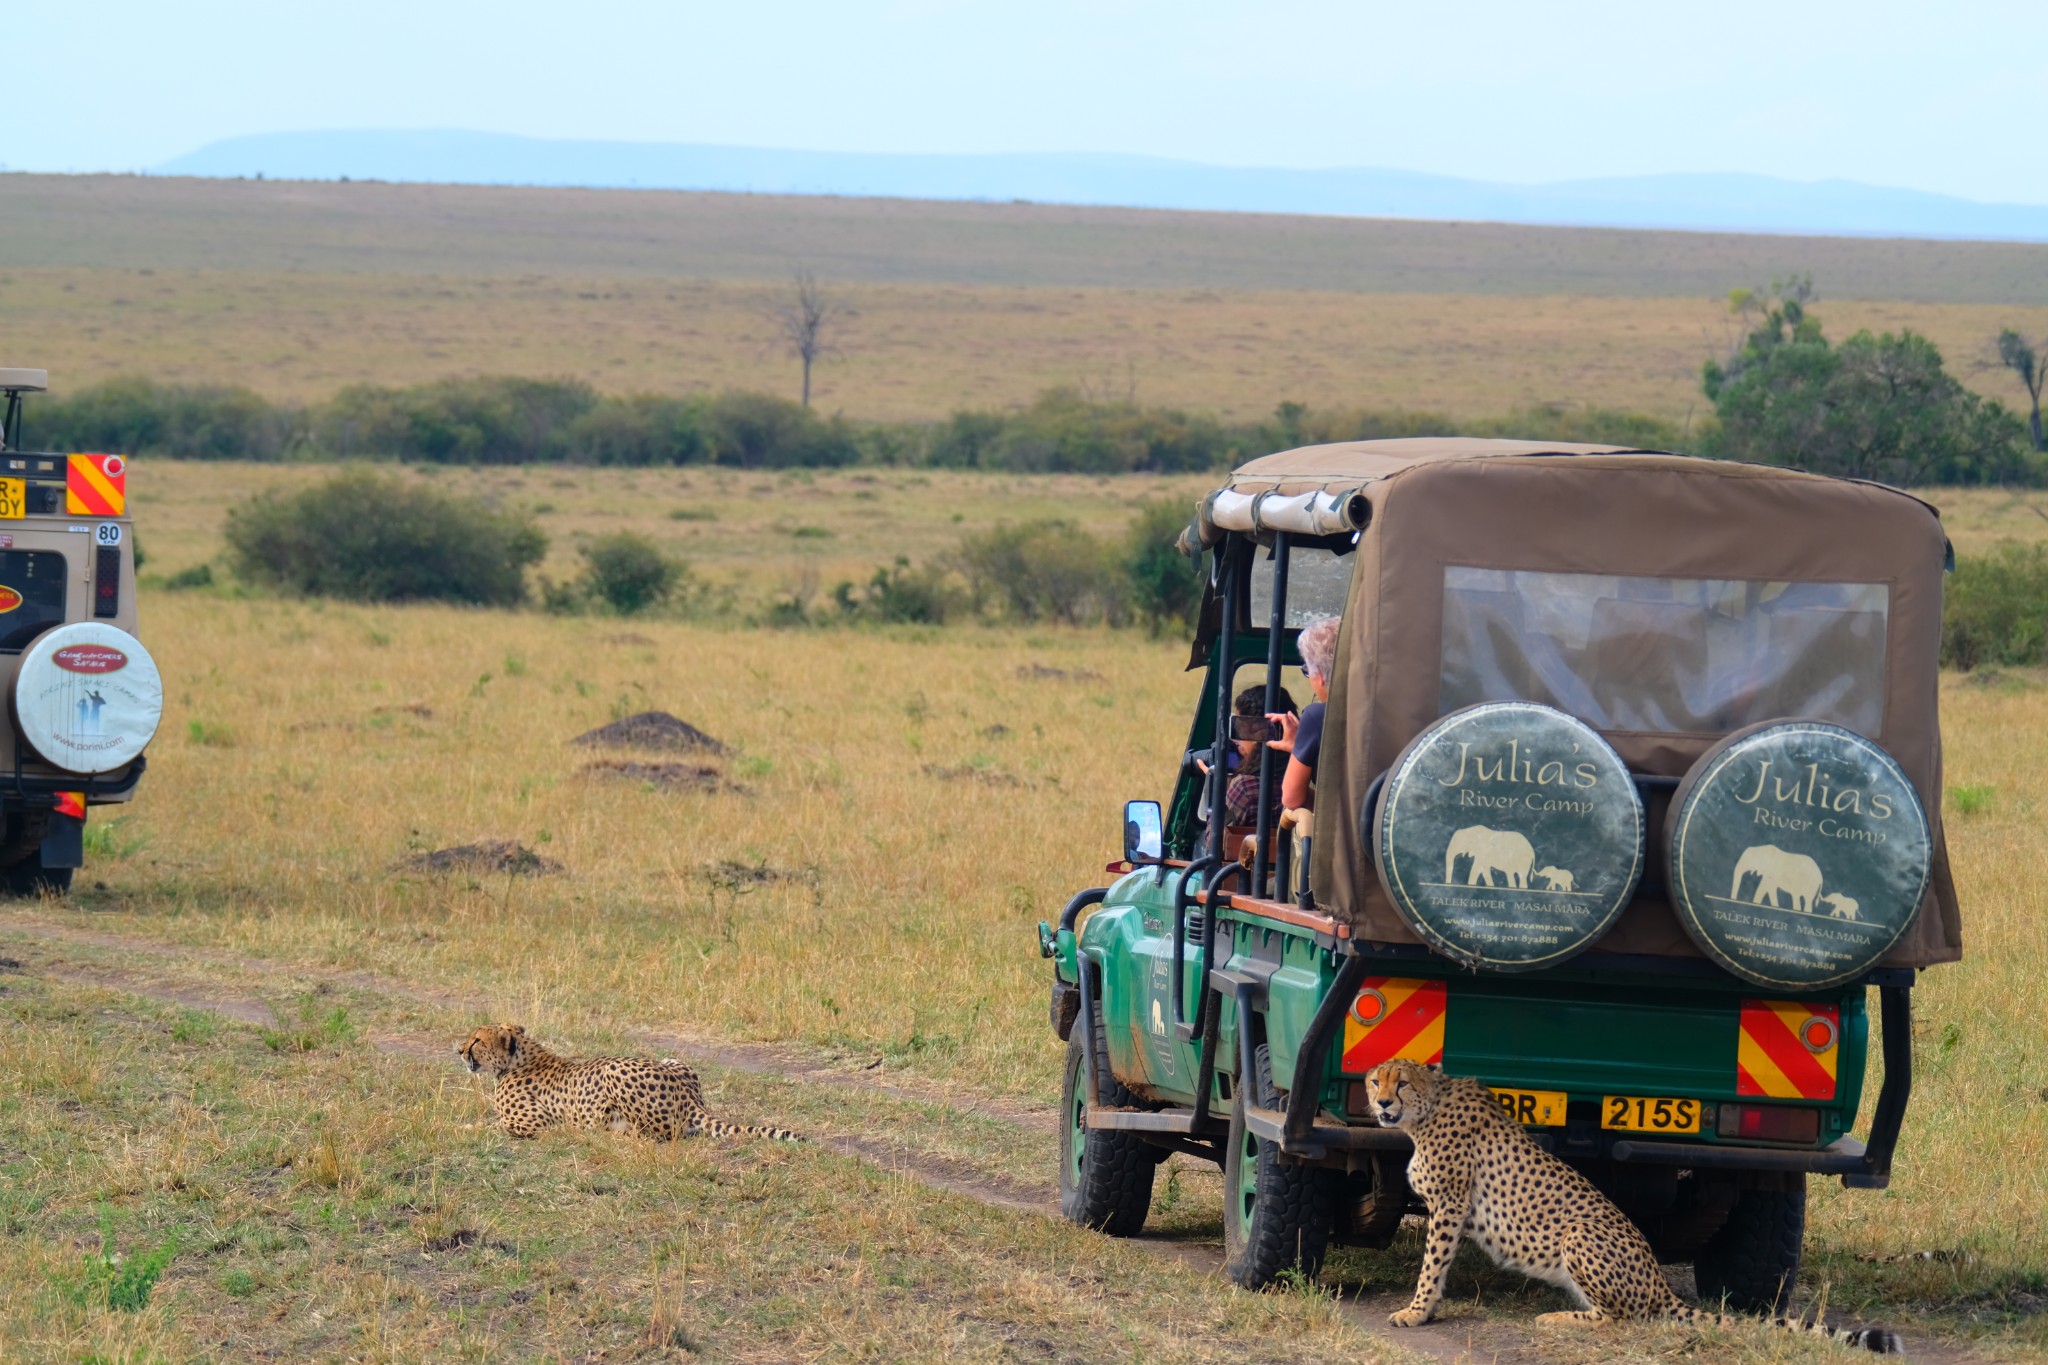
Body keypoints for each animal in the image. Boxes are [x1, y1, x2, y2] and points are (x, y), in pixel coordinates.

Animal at [456, 1023, 798, 1146]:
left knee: (663, 1134)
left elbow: (494, 1125)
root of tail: (691, 1098)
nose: (458, 1050)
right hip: (671, 1059)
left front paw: (465, 1128)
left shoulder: (533, 1123)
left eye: (476, 1040)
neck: (518, 1060)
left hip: (612, 1068)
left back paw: (614, 1133)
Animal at [1359, 1064, 1900, 1350]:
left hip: (1580, 1234)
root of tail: (1660, 1281)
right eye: (1374, 1081)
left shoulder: (1449, 1204)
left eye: (1400, 1083)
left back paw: (1556, 1320)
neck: (1425, 1112)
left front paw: (1415, 1312)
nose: (1382, 1104)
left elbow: (1433, 1264)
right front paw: (1423, 1309)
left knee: (1627, 1317)